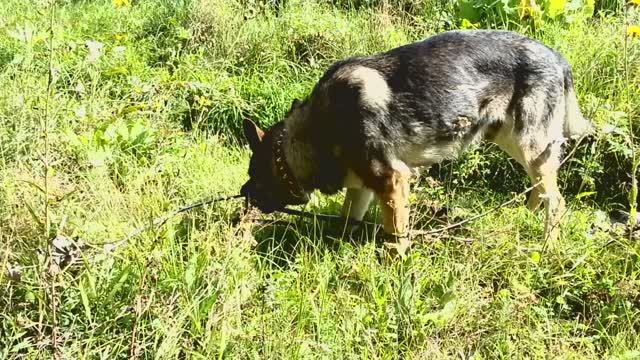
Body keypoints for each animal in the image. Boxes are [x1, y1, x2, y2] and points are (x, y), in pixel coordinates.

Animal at [240, 29, 592, 249]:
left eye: (252, 174)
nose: (242, 195)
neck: (317, 130)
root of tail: (558, 58)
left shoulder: (392, 181)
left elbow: (396, 238)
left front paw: (395, 271)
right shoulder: (363, 187)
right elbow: (346, 223)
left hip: (529, 145)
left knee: (556, 202)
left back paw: (546, 246)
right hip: (513, 142)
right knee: (540, 191)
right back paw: (524, 220)